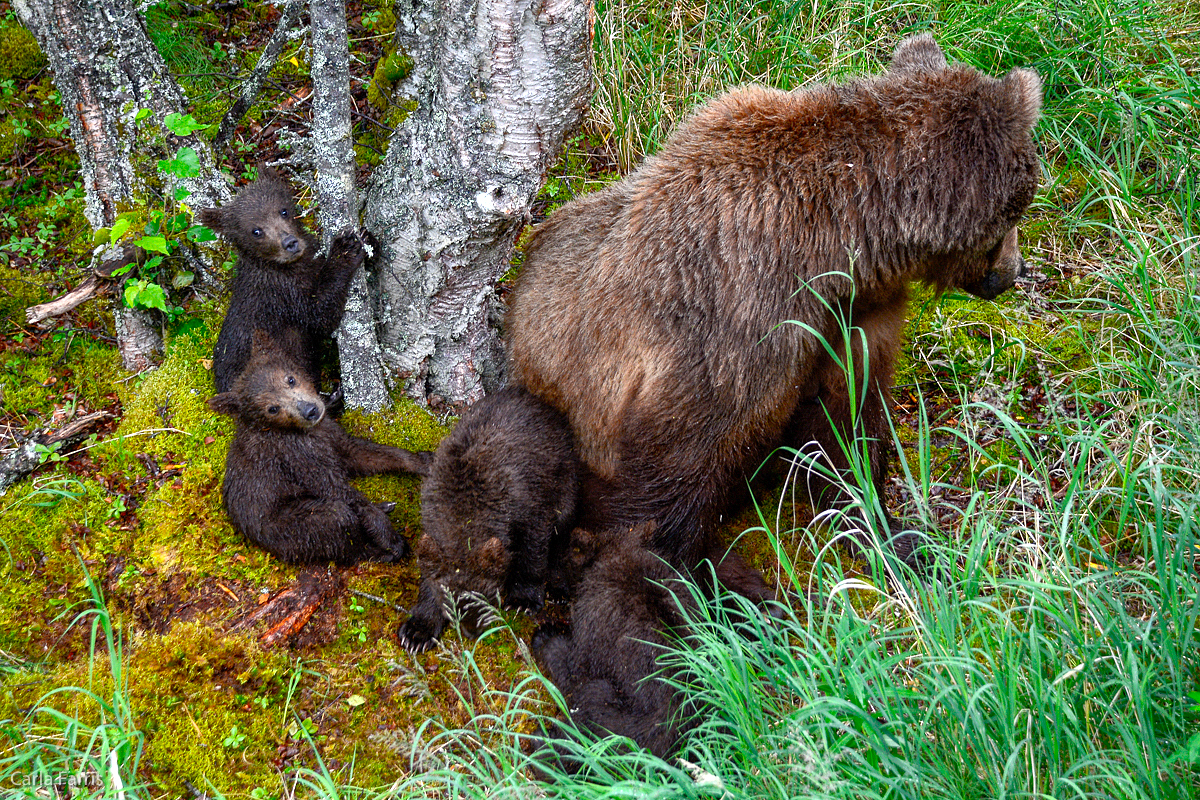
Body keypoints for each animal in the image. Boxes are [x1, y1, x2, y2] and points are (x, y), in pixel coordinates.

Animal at [506, 35, 1041, 575]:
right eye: (1019, 209)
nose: (1014, 271)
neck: (845, 240)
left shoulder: (852, 317)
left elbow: (846, 424)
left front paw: (892, 530)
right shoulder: (739, 322)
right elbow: (669, 475)